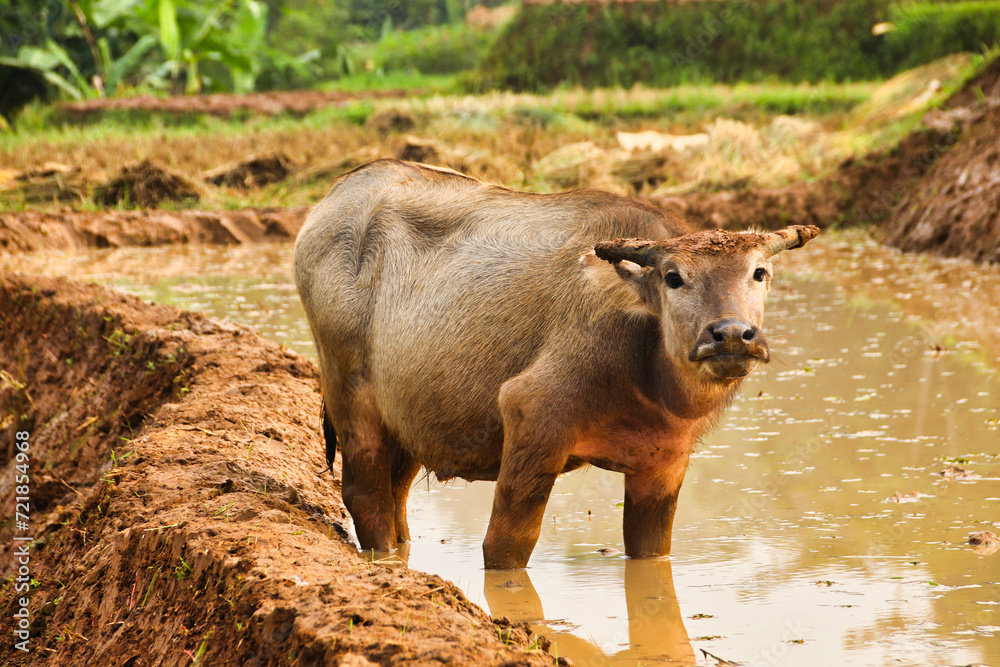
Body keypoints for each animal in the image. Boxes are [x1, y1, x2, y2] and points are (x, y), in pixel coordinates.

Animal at [294, 158, 818, 569]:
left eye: (759, 272)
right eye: (673, 277)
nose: (731, 334)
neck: (646, 373)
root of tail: (333, 199)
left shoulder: (665, 461)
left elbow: (653, 550)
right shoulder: (533, 418)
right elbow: (507, 546)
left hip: (405, 419)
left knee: (395, 495)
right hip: (350, 393)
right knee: (365, 495)